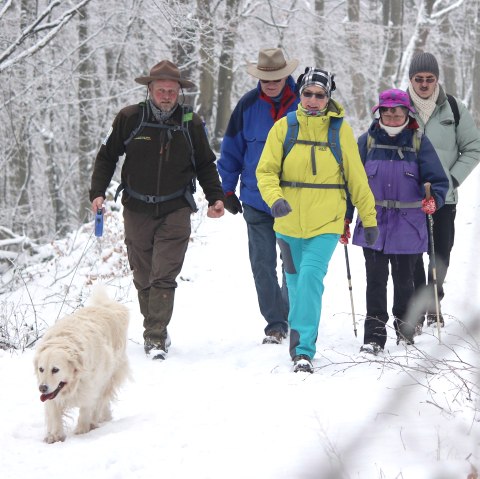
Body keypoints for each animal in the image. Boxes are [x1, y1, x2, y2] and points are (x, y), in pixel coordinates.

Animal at [34, 286, 130, 444]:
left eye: (55, 369)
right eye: (41, 369)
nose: (42, 388)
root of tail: (105, 307)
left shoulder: (90, 386)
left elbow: (86, 409)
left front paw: (82, 431)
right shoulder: (52, 396)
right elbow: (54, 413)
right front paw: (55, 436)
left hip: (108, 376)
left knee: (101, 400)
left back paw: (95, 422)